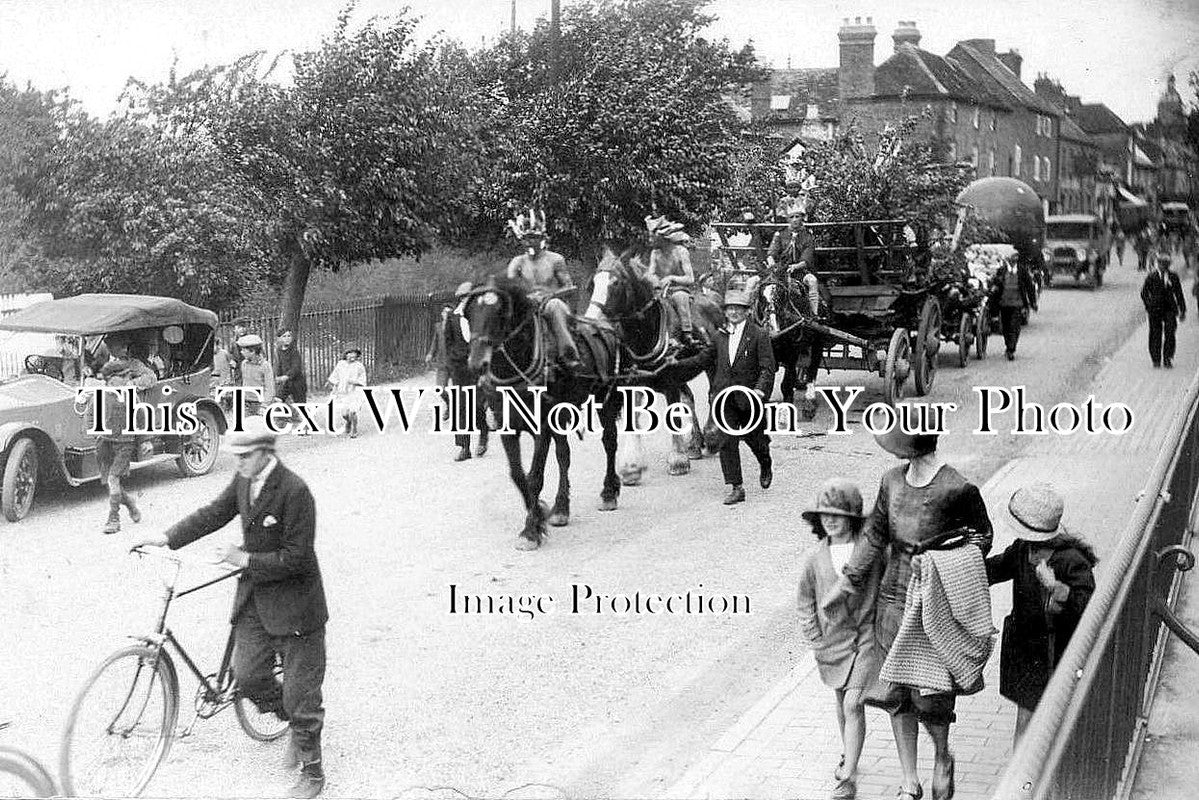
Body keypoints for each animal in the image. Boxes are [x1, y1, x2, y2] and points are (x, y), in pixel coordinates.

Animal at [462, 277, 623, 551]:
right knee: (564, 455)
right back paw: (561, 508)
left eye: (500, 313)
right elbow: (518, 476)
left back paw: (609, 492)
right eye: (469, 313)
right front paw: (539, 513)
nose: (476, 363)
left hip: (606, 400)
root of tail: (604, 326)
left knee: (609, 443)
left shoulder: (542, 427)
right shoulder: (508, 427)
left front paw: (530, 531)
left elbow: (535, 476)